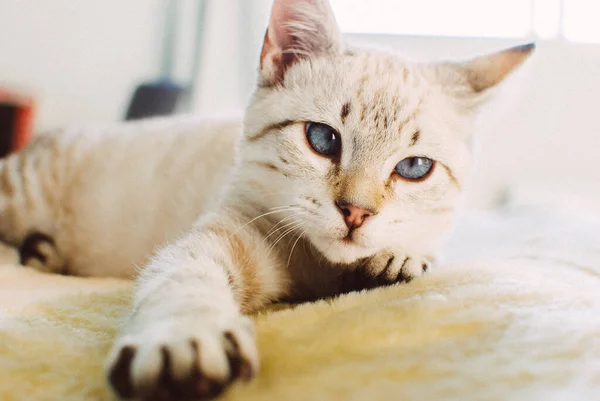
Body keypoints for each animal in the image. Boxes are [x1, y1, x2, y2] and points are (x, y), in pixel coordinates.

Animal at [0, 0, 536, 396]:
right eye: (323, 139)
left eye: (414, 169)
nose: (356, 212)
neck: (321, 270)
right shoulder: (221, 234)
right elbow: (182, 278)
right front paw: (183, 341)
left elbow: (422, 250)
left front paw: (398, 259)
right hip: (20, 194)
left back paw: (44, 254)